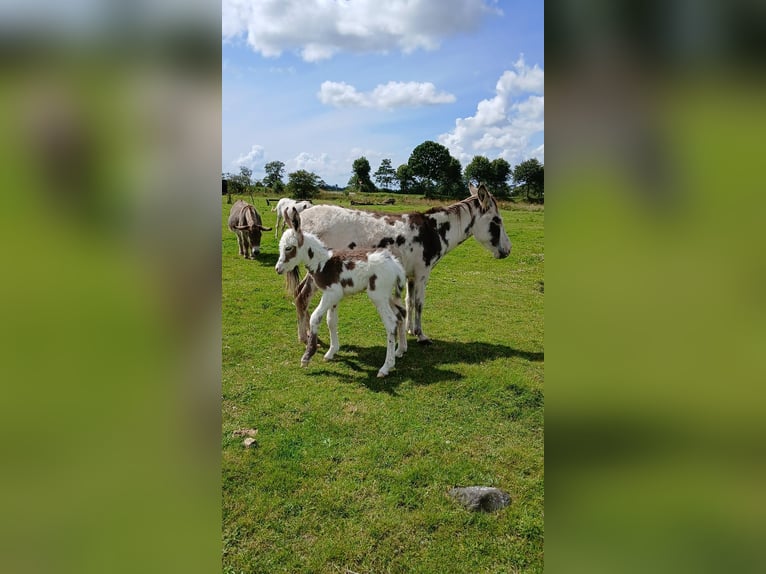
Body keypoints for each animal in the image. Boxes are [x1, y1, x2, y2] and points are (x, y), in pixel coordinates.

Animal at [276, 207, 408, 378]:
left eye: (288, 248)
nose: (278, 269)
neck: (323, 262)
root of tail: (395, 265)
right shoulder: (334, 297)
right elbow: (331, 321)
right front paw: (331, 352)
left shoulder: (331, 294)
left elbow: (315, 318)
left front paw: (307, 356)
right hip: (390, 296)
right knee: (401, 314)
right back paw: (400, 351)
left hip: (378, 296)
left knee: (391, 323)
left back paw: (386, 367)